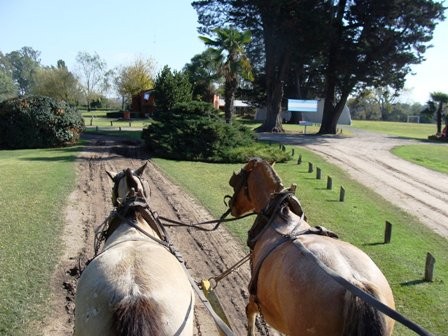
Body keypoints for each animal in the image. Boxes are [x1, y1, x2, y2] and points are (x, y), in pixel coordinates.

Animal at [229, 158, 394, 336]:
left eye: (237, 178)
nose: (231, 205)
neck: (277, 214)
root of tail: (357, 285)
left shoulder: (255, 296)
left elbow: (249, 313)